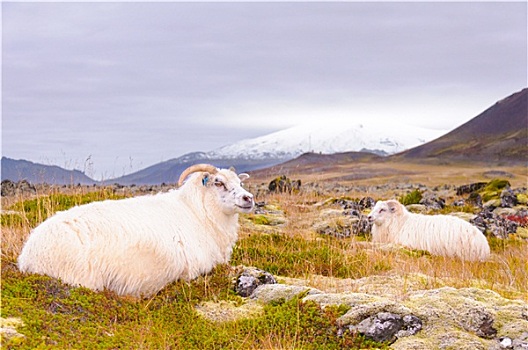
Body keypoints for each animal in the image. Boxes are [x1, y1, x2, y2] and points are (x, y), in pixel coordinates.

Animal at [17, 165, 255, 298]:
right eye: (218, 183)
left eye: (240, 182)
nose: (249, 198)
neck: (198, 212)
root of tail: (28, 255)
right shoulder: (196, 270)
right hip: (82, 279)